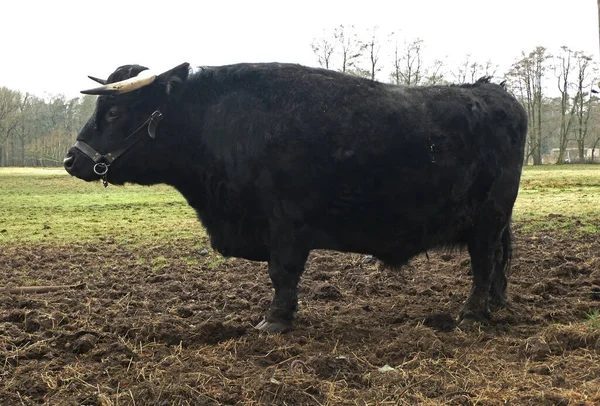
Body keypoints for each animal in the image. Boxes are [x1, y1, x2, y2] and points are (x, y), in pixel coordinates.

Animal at [63, 61, 528, 332]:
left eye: (114, 112)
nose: (71, 159)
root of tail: (492, 92)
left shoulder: (286, 226)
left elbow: (282, 273)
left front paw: (275, 321)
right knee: (498, 264)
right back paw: (495, 305)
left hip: (487, 221)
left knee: (484, 265)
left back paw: (471, 315)